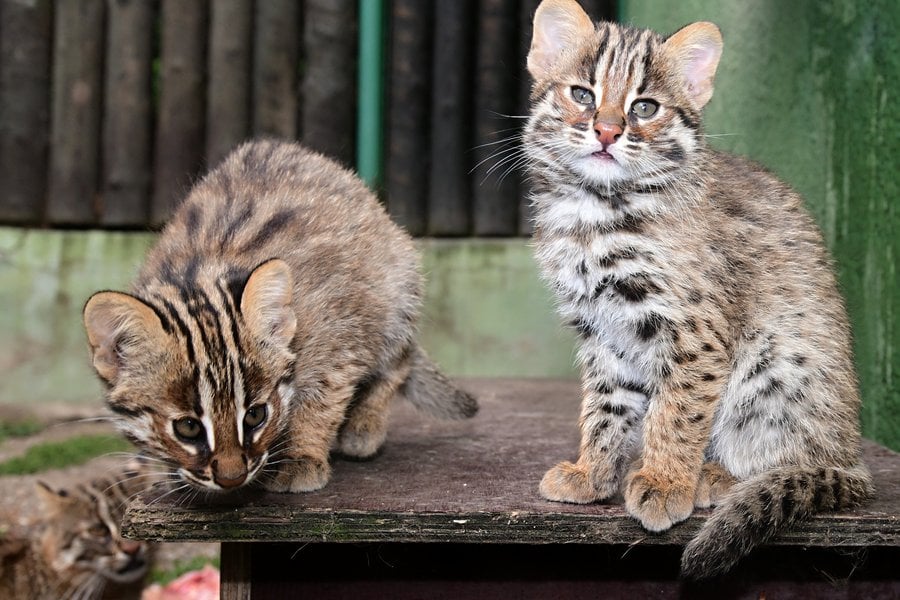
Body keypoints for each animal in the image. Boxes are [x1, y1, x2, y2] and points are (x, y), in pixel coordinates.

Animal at [84, 142, 478, 496]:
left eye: (255, 415)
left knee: (400, 358)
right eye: (188, 428)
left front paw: (301, 456)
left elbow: (321, 398)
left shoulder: (341, 331)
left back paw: (364, 427)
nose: (231, 479)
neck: (199, 275)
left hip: (398, 281)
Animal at [528, 0, 872, 580]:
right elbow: (605, 406)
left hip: (776, 359)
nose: (606, 131)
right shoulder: (602, 330)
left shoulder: (693, 330)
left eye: (645, 107)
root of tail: (852, 459)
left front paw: (666, 483)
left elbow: (676, 410)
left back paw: (719, 476)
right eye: (583, 95)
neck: (596, 208)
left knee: (799, 456)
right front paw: (593, 472)